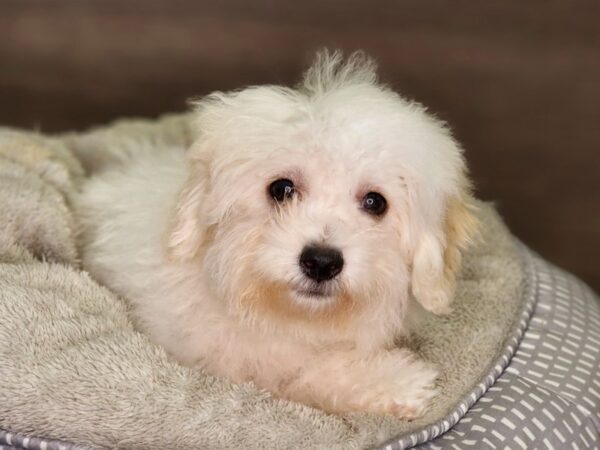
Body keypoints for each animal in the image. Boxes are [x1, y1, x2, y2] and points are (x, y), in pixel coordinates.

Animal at [76, 51, 478, 420]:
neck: (292, 317)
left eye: (375, 202)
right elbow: (306, 373)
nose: (321, 261)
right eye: (281, 189)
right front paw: (396, 380)